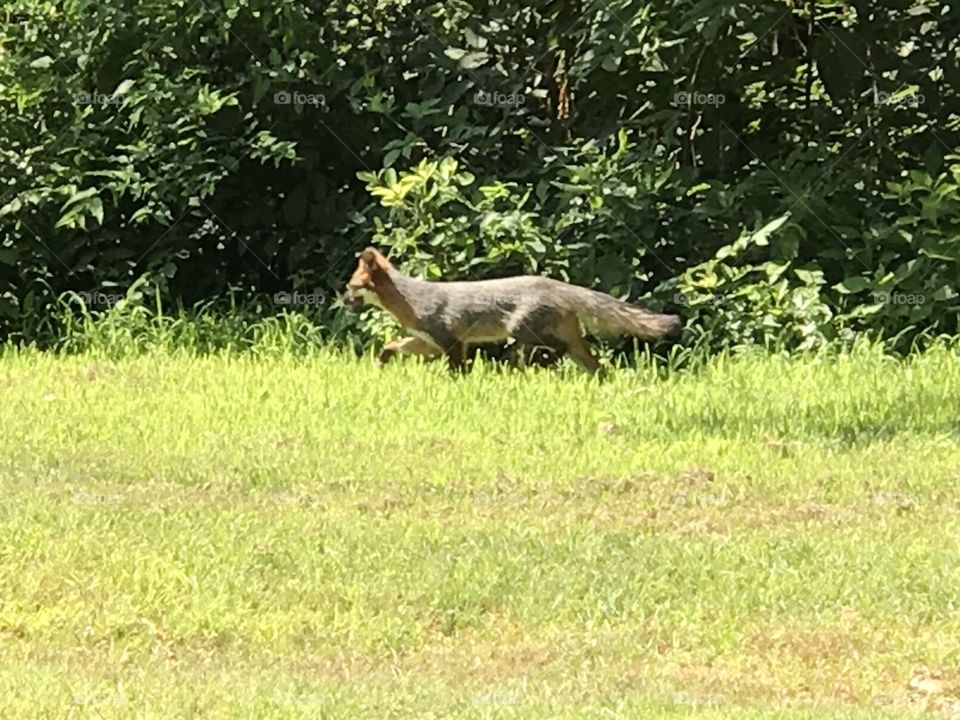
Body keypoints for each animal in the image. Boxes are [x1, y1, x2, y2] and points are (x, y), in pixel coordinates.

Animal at [341, 247, 682, 374]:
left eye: (351, 286)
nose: (340, 300)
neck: (412, 298)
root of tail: (557, 283)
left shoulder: (451, 341)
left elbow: (458, 370)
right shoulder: (426, 341)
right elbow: (391, 345)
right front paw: (379, 364)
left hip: (522, 331)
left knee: (554, 348)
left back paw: (544, 364)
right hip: (568, 344)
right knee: (597, 367)